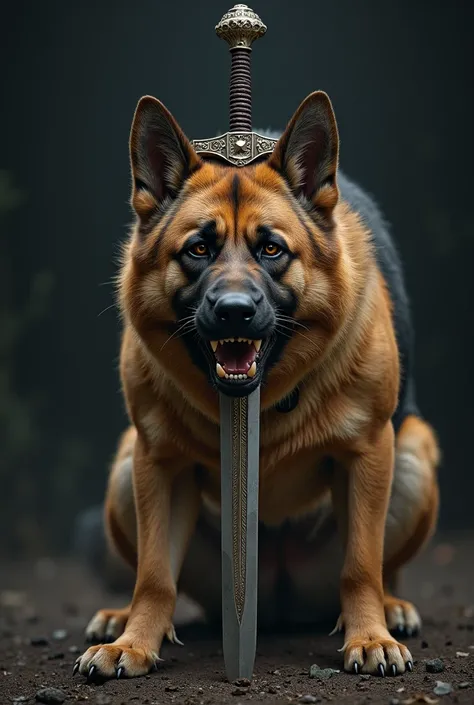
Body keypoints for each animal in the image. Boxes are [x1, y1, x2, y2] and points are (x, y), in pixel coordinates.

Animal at [74, 91, 440, 680]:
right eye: (198, 250)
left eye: (271, 251)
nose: (234, 312)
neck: (260, 398)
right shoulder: (159, 463)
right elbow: (154, 576)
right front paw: (132, 643)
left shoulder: (368, 453)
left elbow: (362, 565)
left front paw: (370, 636)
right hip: (126, 467)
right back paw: (119, 618)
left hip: (411, 455)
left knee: (380, 569)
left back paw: (391, 609)